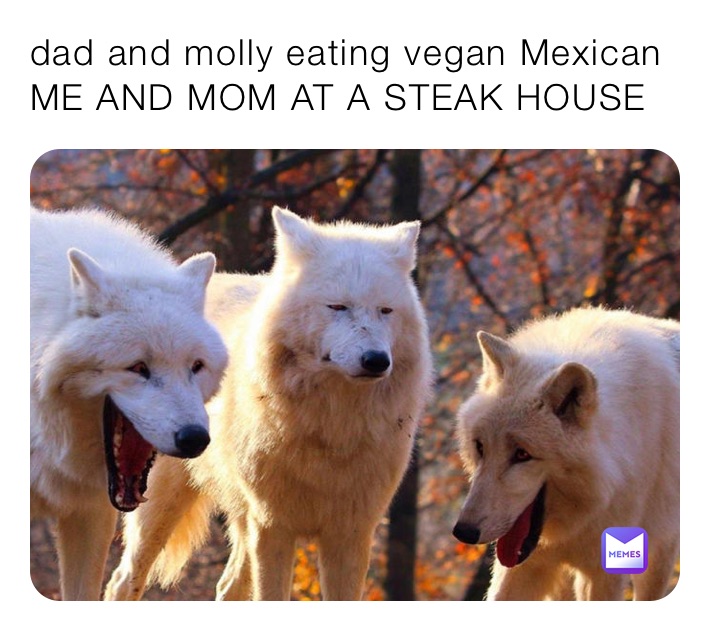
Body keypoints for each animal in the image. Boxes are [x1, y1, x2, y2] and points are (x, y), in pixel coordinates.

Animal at [102, 206, 432, 604]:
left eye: (386, 311)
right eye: (338, 307)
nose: (376, 361)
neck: (332, 428)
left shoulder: (351, 533)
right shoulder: (273, 526)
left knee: (227, 587)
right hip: (162, 504)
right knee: (123, 581)